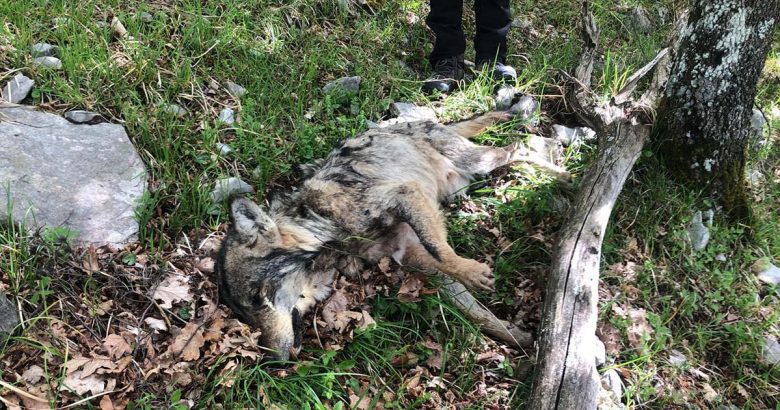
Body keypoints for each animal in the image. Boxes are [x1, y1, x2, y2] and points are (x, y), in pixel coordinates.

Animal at [216, 102, 564, 360]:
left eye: (258, 298)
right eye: (245, 315)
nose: (271, 362)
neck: (323, 225)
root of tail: (422, 122)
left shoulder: (405, 197)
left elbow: (440, 248)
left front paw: (471, 270)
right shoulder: (409, 253)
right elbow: (476, 311)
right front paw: (516, 338)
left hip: (477, 161)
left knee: (518, 148)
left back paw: (565, 177)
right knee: (514, 154)